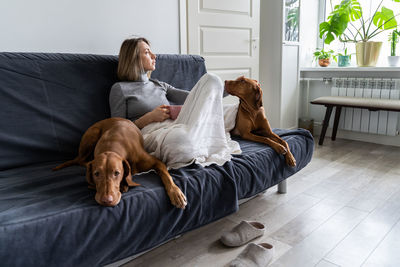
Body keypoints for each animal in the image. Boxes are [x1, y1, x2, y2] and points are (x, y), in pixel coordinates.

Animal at [52, 118, 188, 209]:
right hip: (93, 134)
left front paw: (176, 193)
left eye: (117, 173)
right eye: (96, 174)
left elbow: (166, 176)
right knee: (81, 160)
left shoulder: (157, 162)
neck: (112, 144)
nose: (106, 200)